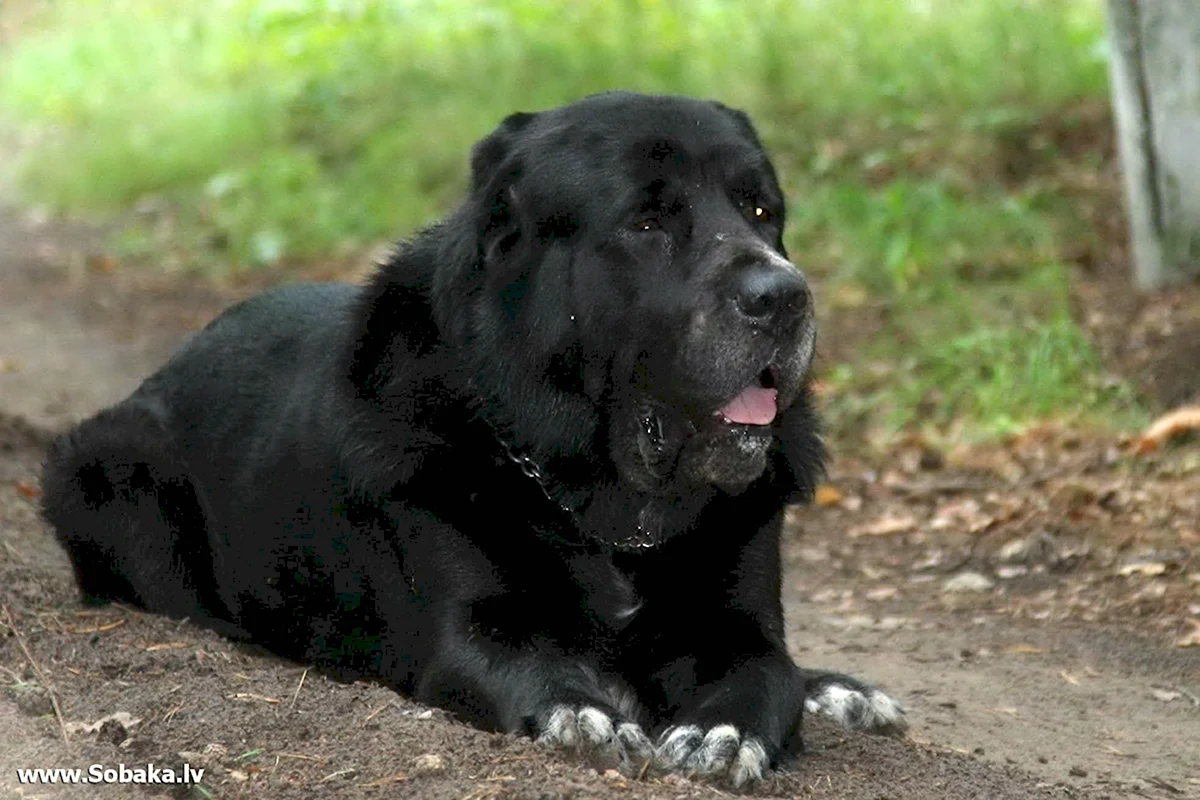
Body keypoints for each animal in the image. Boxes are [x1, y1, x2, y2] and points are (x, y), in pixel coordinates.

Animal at [44, 90, 902, 786]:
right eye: (646, 221)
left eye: (761, 212)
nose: (784, 296)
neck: (604, 509)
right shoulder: (473, 626)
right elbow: (534, 667)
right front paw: (588, 712)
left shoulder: (740, 621)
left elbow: (768, 676)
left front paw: (724, 731)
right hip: (106, 467)